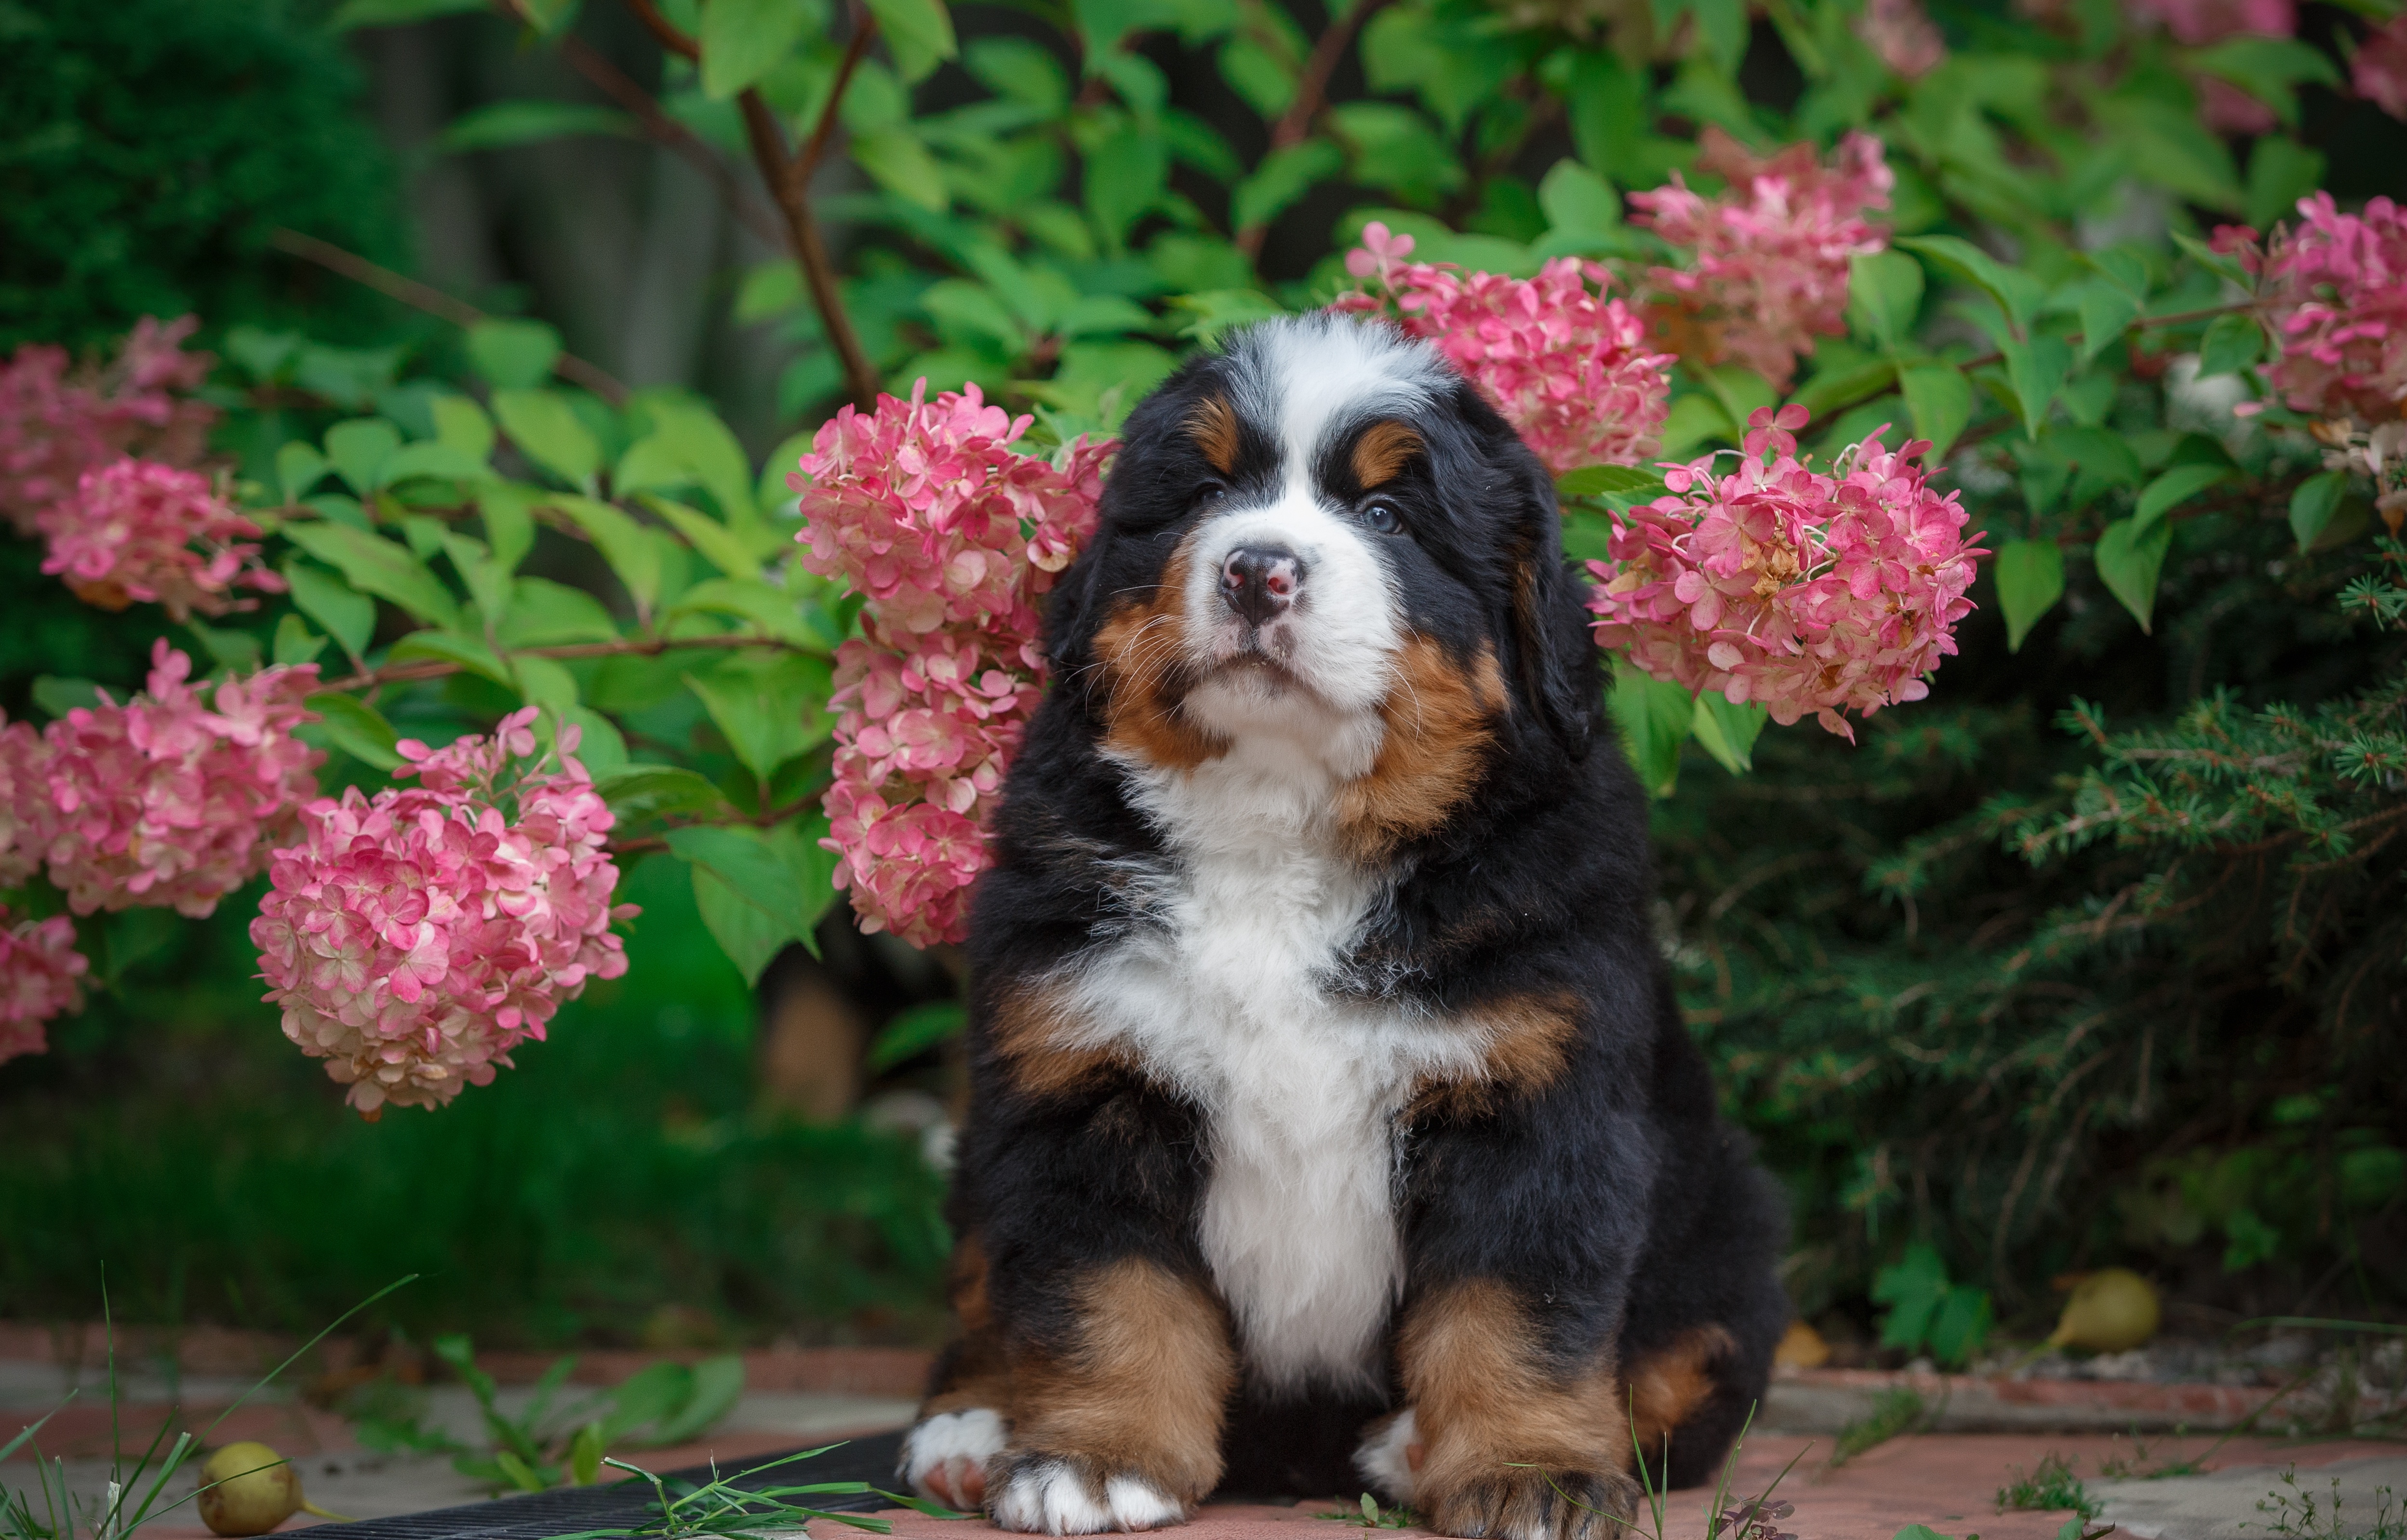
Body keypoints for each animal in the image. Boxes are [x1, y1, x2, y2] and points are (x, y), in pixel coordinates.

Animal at [900, 315, 1791, 1540]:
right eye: (1204, 494)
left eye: (1388, 517)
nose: (1255, 568)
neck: (1283, 827)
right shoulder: (1083, 1081)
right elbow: (1106, 1294)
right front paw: (1096, 1456)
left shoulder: (1539, 1100)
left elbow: (1520, 1310)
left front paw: (1531, 1473)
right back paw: (971, 1425)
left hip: (1728, 1217)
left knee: (1682, 1373)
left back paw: (1414, 1445)